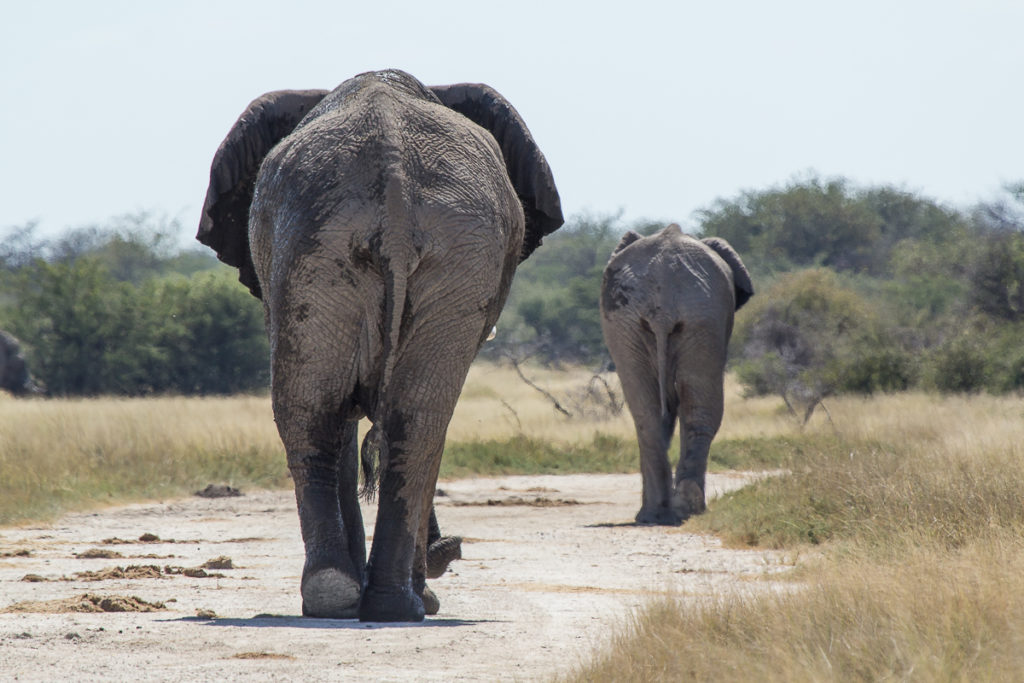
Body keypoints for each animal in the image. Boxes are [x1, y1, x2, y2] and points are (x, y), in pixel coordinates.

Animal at [195, 70, 565, 626]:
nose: (449, 551)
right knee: (403, 420)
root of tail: (393, 184)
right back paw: (391, 603)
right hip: (376, 250)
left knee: (330, 415)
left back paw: (347, 599)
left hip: (333, 247)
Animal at [598, 227, 753, 528]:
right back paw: (683, 510)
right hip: (690, 318)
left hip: (635, 320)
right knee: (698, 412)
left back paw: (658, 515)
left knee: (649, 417)